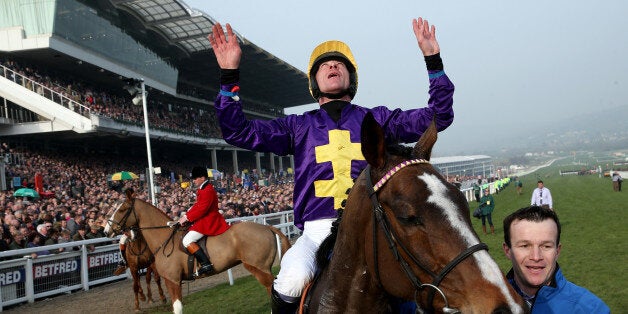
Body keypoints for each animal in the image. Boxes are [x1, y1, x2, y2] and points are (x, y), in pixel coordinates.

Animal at [105, 194, 292, 314]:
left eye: (122, 209)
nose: (106, 230)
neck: (164, 238)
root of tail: (266, 227)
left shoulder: (173, 281)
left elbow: (178, 308)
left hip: (258, 268)